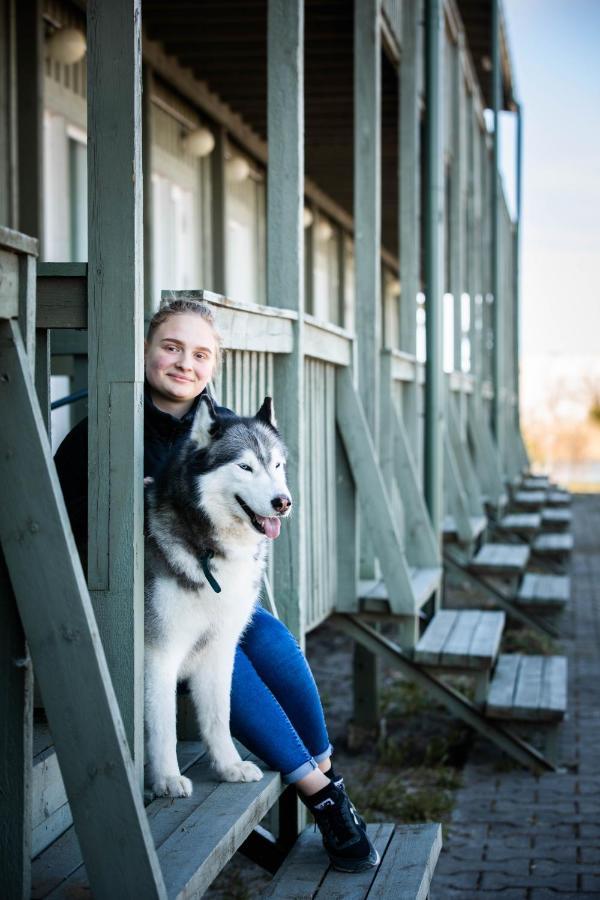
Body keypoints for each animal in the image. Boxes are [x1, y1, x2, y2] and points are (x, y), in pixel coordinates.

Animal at [144, 398, 292, 800]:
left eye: (276, 466)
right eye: (245, 466)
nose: (283, 502)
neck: (208, 548)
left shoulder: (219, 648)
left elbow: (217, 716)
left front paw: (228, 766)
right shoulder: (159, 653)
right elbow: (162, 725)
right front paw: (166, 778)